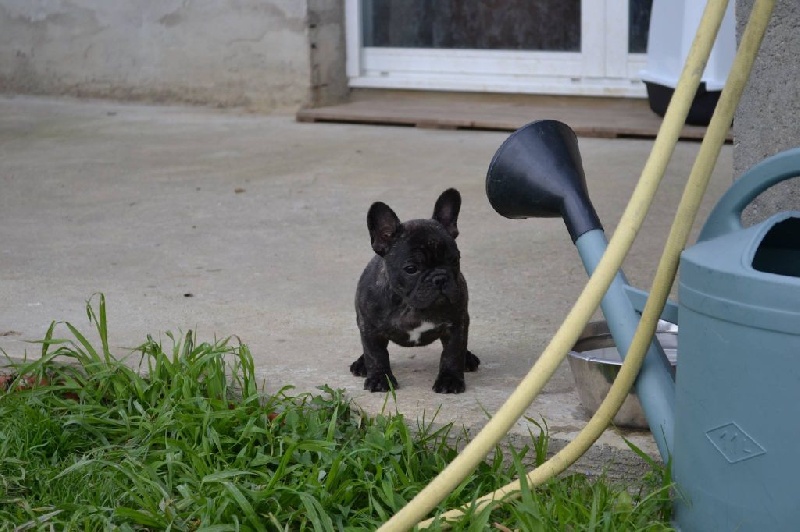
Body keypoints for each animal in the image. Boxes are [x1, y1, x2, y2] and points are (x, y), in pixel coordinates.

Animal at [348, 189, 476, 392]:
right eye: (411, 269)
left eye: (454, 260)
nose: (439, 278)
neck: (411, 306)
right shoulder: (369, 328)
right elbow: (376, 355)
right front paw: (380, 378)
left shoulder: (458, 324)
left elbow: (452, 353)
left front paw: (449, 380)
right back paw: (362, 364)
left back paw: (468, 358)